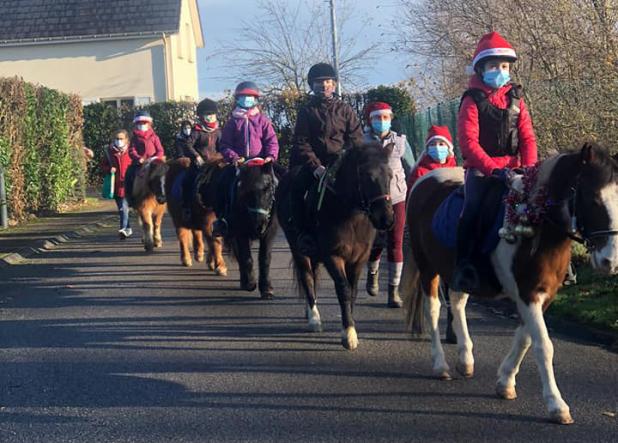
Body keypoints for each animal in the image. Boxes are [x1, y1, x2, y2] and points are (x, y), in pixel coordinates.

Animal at [199, 157, 278, 298]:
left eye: (268, 188)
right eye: (244, 192)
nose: (259, 224)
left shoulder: (269, 232)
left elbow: (265, 258)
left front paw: (267, 289)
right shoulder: (240, 232)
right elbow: (246, 257)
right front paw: (250, 284)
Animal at [276, 142, 392, 350]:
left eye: (391, 175)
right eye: (367, 176)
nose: (386, 219)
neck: (350, 215)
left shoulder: (359, 259)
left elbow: (353, 291)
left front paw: (350, 325)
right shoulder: (333, 256)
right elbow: (343, 289)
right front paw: (349, 335)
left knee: (312, 276)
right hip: (298, 249)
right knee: (307, 277)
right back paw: (314, 318)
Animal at [400, 144, 616, 424]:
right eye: (593, 200)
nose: (610, 261)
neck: (537, 223)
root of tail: (424, 180)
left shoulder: (543, 296)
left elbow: (525, 339)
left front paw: (505, 382)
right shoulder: (528, 294)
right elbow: (543, 346)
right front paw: (556, 405)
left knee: (457, 304)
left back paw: (465, 359)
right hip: (428, 267)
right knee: (434, 309)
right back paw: (440, 366)